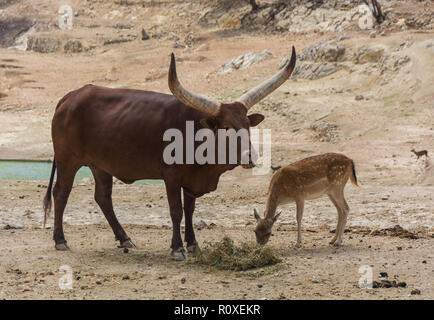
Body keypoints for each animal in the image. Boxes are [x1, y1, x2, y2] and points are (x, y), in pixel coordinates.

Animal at [42, 46, 296, 260]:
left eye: (247, 125)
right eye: (225, 127)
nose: (250, 157)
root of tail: (71, 96)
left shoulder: (192, 181)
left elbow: (190, 210)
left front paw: (193, 245)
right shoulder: (171, 177)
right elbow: (176, 211)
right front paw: (177, 248)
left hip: (100, 165)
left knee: (103, 198)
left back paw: (124, 239)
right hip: (67, 160)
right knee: (61, 193)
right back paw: (60, 240)